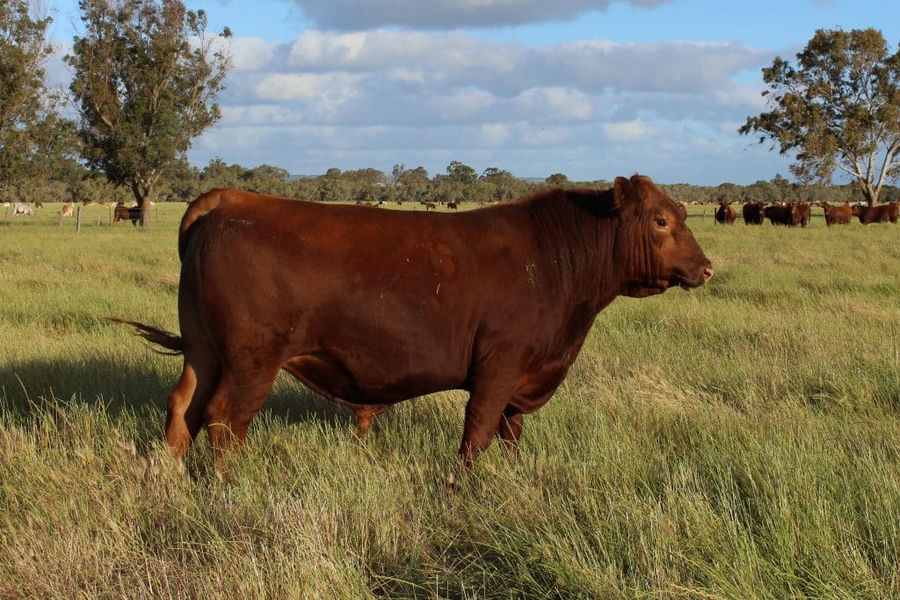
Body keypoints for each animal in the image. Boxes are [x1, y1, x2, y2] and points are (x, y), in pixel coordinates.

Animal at [112, 175, 713, 467]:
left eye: (682, 215)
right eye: (661, 220)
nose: (706, 267)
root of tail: (230, 198)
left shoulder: (526, 378)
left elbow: (512, 433)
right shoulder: (499, 368)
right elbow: (477, 435)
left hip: (204, 350)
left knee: (183, 408)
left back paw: (168, 479)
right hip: (250, 359)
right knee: (223, 419)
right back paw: (230, 487)